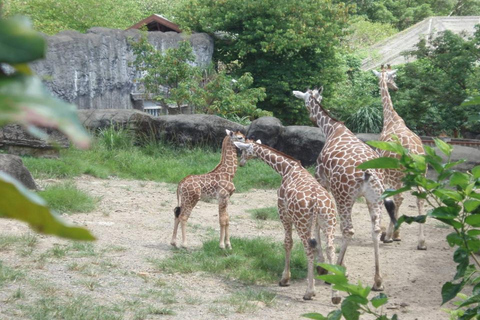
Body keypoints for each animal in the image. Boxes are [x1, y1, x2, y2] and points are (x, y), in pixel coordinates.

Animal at [233, 139, 340, 302]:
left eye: (244, 150)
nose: (241, 163)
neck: (286, 169)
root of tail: (316, 202)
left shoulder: (283, 212)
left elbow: (287, 243)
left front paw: (285, 279)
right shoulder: (316, 223)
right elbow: (319, 244)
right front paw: (322, 269)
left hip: (302, 223)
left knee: (309, 249)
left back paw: (309, 292)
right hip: (329, 222)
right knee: (331, 248)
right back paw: (335, 295)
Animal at [294, 88, 396, 292]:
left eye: (306, 102)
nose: (311, 118)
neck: (332, 129)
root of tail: (369, 173)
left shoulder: (322, 181)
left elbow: (318, 225)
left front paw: (322, 266)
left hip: (344, 196)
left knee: (348, 230)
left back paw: (338, 270)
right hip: (374, 198)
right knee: (375, 229)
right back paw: (377, 281)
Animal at [372, 64, 428, 250]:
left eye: (393, 77)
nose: (396, 87)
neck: (390, 118)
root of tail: (412, 152)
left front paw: (391, 234)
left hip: (399, 174)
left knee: (400, 197)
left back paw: (389, 235)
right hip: (421, 173)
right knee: (420, 197)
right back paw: (421, 242)